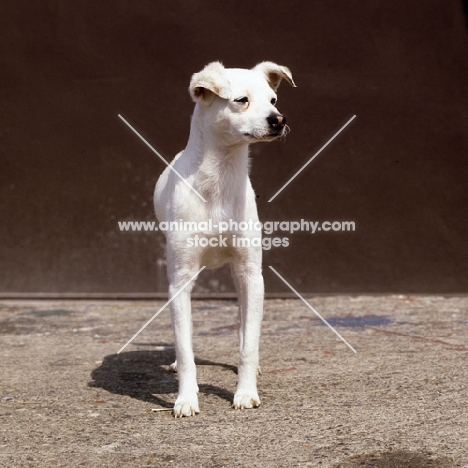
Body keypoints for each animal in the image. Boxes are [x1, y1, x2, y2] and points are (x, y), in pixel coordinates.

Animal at [154, 61, 296, 416]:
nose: (279, 119)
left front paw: (245, 392)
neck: (218, 181)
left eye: (274, 100)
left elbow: (248, 345)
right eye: (241, 100)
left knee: (246, 325)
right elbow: (186, 348)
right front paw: (186, 398)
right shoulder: (180, 281)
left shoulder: (251, 274)